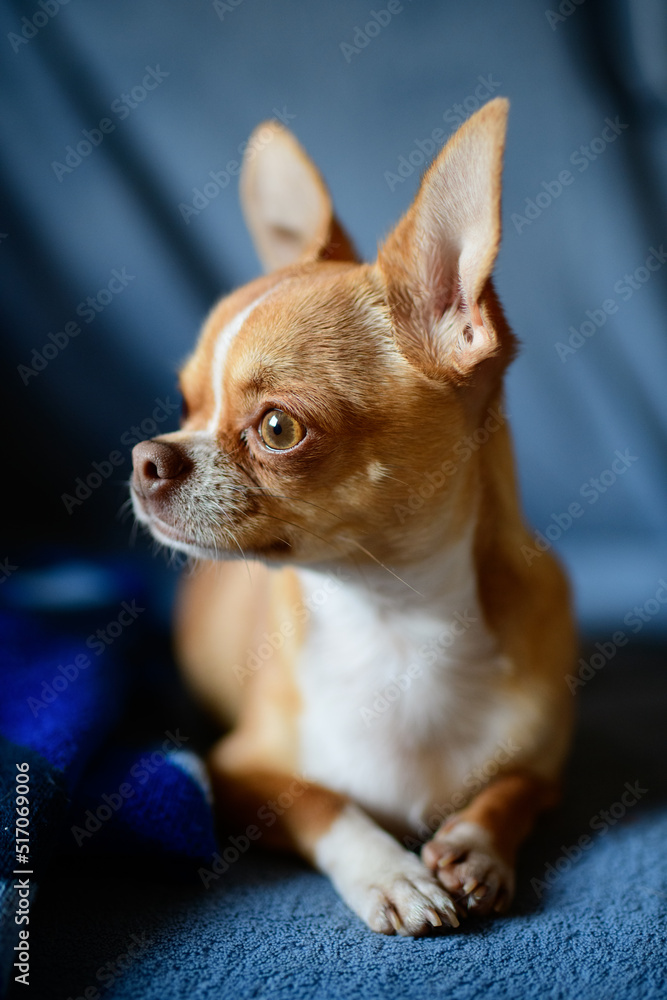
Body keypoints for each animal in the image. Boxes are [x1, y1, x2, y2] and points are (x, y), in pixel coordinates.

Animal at [132, 97, 580, 932]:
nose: (147, 457)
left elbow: (510, 791)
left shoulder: (546, 771)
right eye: (184, 404)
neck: (392, 620)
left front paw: (475, 846)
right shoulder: (233, 775)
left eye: (278, 428)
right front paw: (390, 873)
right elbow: (322, 801)